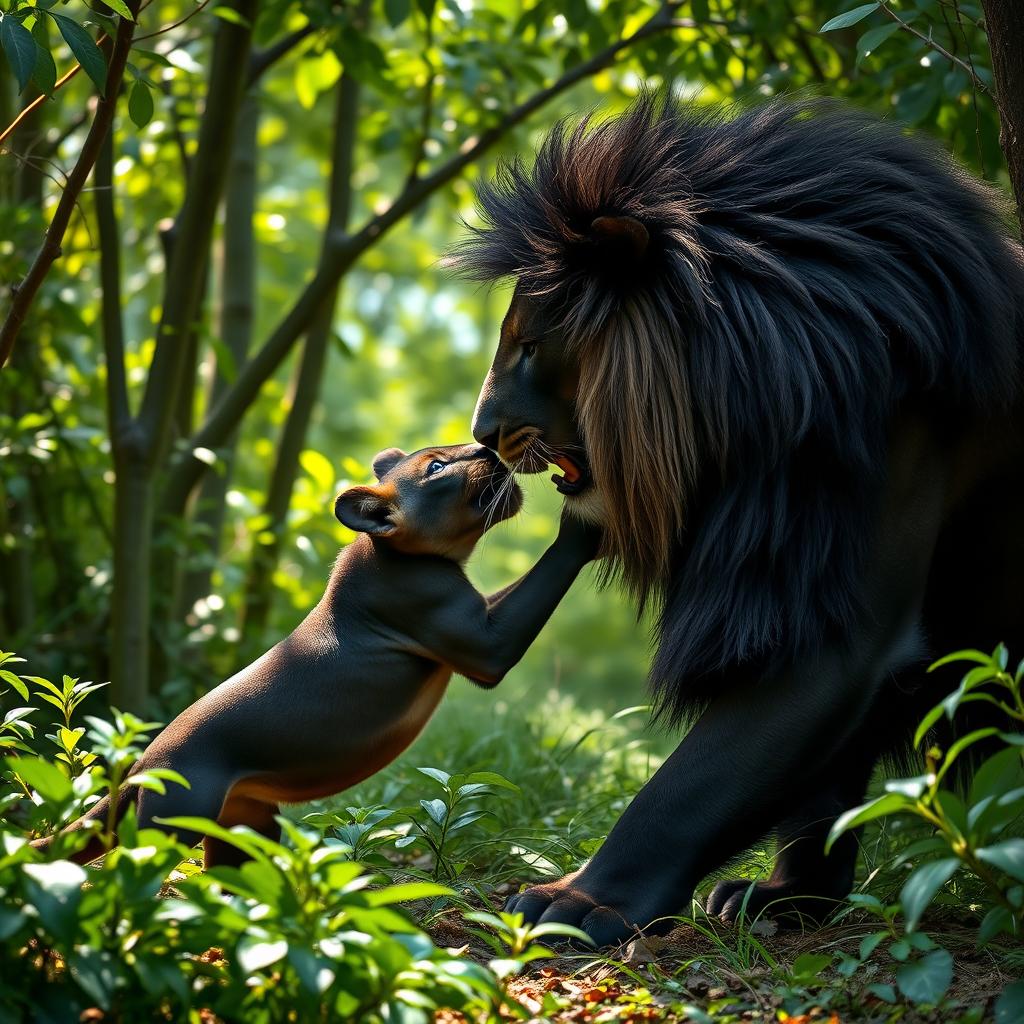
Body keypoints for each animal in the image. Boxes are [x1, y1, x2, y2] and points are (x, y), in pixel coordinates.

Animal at [454, 94, 1024, 945]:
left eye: (529, 345)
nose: (483, 433)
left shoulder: (843, 609)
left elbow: (690, 786)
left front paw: (581, 902)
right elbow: (825, 795)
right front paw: (791, 898)